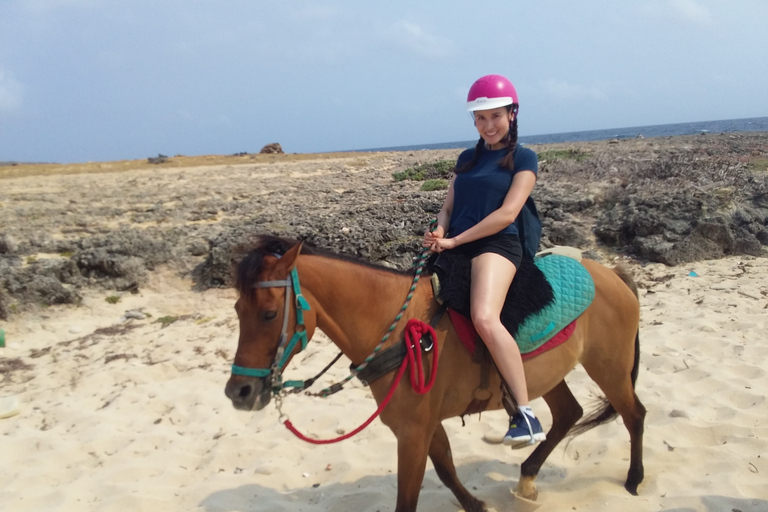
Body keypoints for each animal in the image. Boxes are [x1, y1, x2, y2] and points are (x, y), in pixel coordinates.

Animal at [225, 237, 644, 512]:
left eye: (268, 313)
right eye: (237, 310)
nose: (238, 392)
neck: (399, 327)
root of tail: (612, 274)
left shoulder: (413, 431)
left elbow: (409, 498)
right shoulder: (423, 425)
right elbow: (444, 468)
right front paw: (475, 504)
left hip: (609, 368)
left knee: (633, 415)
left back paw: (633, 479)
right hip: (549, 376)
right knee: (568, 414)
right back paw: (527, 477)